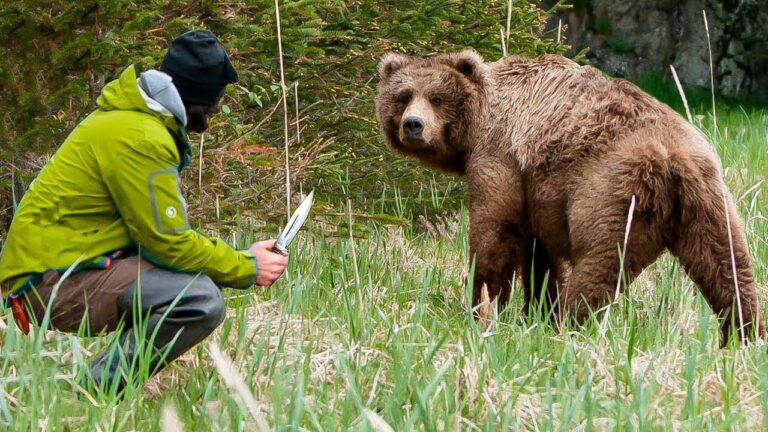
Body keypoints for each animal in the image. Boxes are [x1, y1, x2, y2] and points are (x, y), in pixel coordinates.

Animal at [376, 50, 764, 346]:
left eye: (437, 98)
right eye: (404, 95)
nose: (413, 125)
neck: (479, 121)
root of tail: (672, 158)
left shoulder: (500, 158)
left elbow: (495, 233)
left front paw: (483, 307)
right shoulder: (538, 192)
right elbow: (541, 257)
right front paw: (537, 311)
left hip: (611, 192)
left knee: (598, 266)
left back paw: (571, 328)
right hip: (708, 199)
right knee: (727, 266)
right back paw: (745, 335)